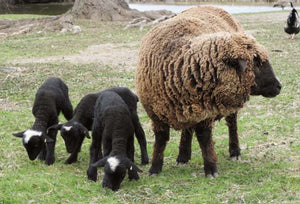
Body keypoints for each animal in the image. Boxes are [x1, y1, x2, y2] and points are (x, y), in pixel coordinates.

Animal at [136, 5, 282, 178]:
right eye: (257, 62)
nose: (279, 86)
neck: (181, 65)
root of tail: (211, 6)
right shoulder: (156, 114)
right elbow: (161, 140)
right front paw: (155, 168)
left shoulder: (206, 113)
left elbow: (204, 139)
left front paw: (211, 169)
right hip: (189, 108)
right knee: (187, 129)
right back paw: (183, 156)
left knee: (232, 124)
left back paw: (234, 152)